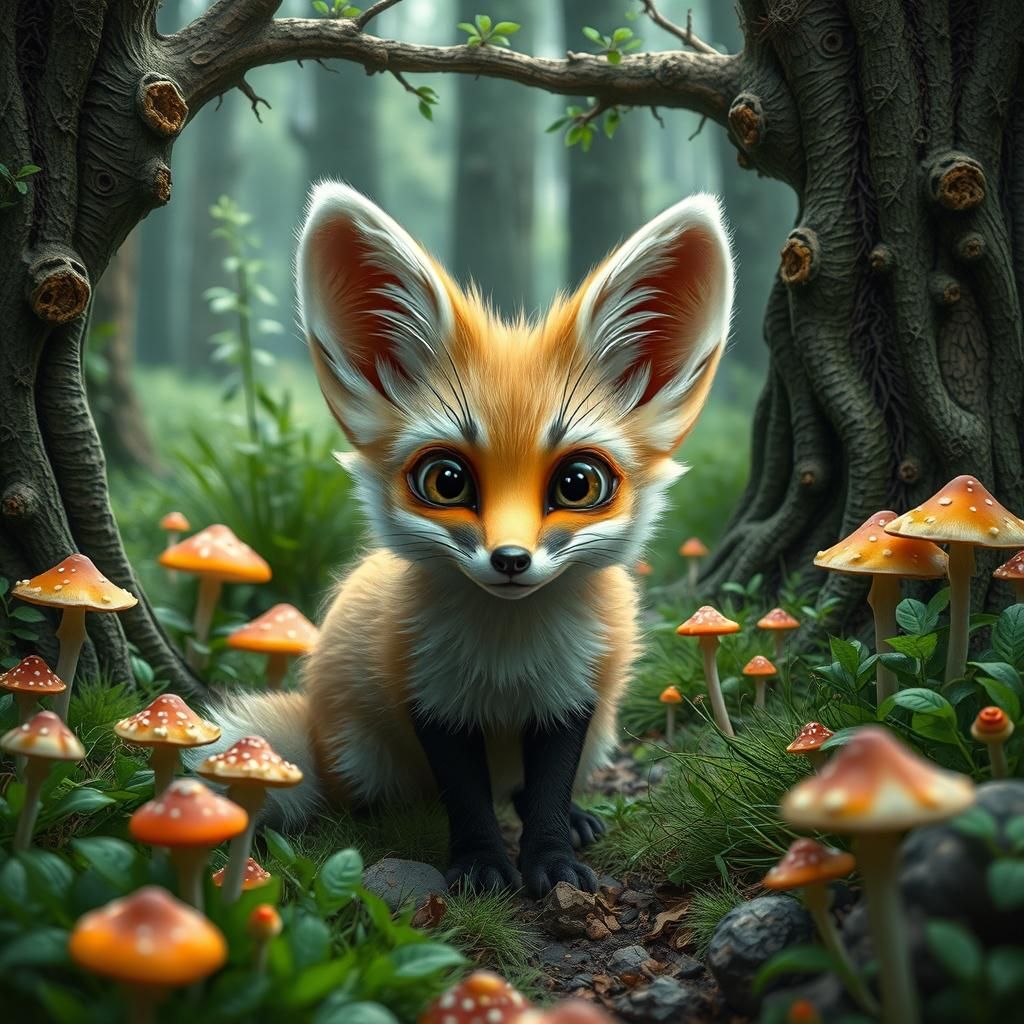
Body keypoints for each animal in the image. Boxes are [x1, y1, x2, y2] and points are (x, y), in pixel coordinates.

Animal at [204, 182, 734, 897]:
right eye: (447, 480)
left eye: (577, 484)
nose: (510, 560)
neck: (507, 663)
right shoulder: (432, 700)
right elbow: (467, 798)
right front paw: (481, 866)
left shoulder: (570, 699)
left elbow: (545, 792)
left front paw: (554, 861)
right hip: (360, 751)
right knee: (371, 795)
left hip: (603, 725)